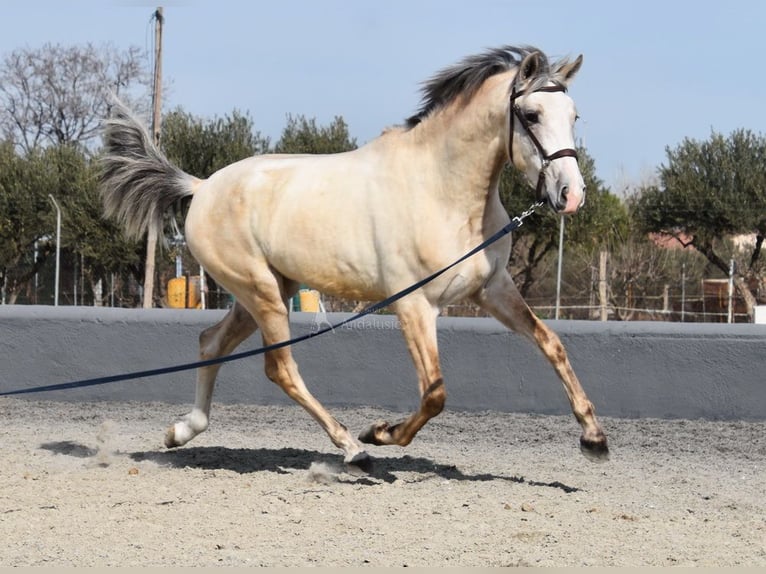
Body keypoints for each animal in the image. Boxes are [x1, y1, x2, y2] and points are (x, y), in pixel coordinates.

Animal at [99, 44, 612, 468]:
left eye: (574, 115)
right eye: (531, 114)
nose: (570, 196)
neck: (441, 190)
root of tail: (202, 187)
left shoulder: (493, 290)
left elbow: (551, 344)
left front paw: (594, 439)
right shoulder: (415, 305)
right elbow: (435, 394)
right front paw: (379, 432)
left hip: (266, 291)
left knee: (211, 344)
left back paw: (182, 431)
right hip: (261, 292)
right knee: (280, 368)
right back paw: (351, 447)